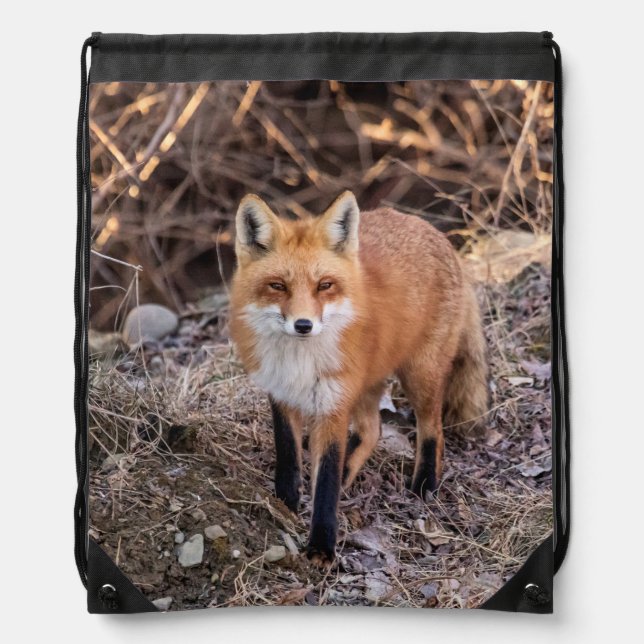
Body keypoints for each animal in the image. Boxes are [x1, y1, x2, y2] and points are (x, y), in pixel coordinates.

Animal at [229, 191, 489, 567]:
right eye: (277, 286)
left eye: (324, 286)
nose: (304, 325)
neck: (299, 361)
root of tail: (433, 231)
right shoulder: (281, 394)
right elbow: (289, 456)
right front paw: (285, 503)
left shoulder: (333, 406)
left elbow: (326, 482)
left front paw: (321, 547)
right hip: (366, 383)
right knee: (372, 430)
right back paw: (350, 472)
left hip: (419, 375)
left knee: (433, 430)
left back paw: (425, 485)